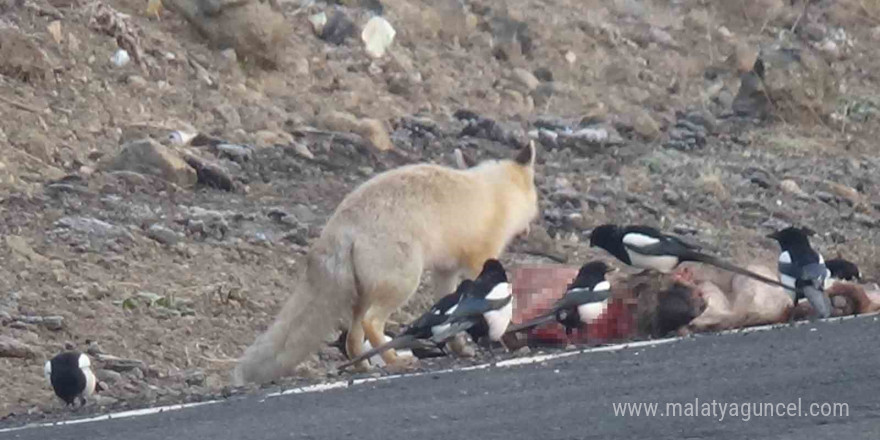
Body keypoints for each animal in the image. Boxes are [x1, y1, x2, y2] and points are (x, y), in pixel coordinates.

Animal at [230, 142, 540, 384]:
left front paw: (459, 348)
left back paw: (363, 366)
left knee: (352, 338)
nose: (528, 231)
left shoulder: (445, 271)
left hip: (362, 294)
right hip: (402, 282)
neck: (496, 192)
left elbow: (451, 312)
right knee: (372, 323)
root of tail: (340, 224)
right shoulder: (480, 260)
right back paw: (393, 359)